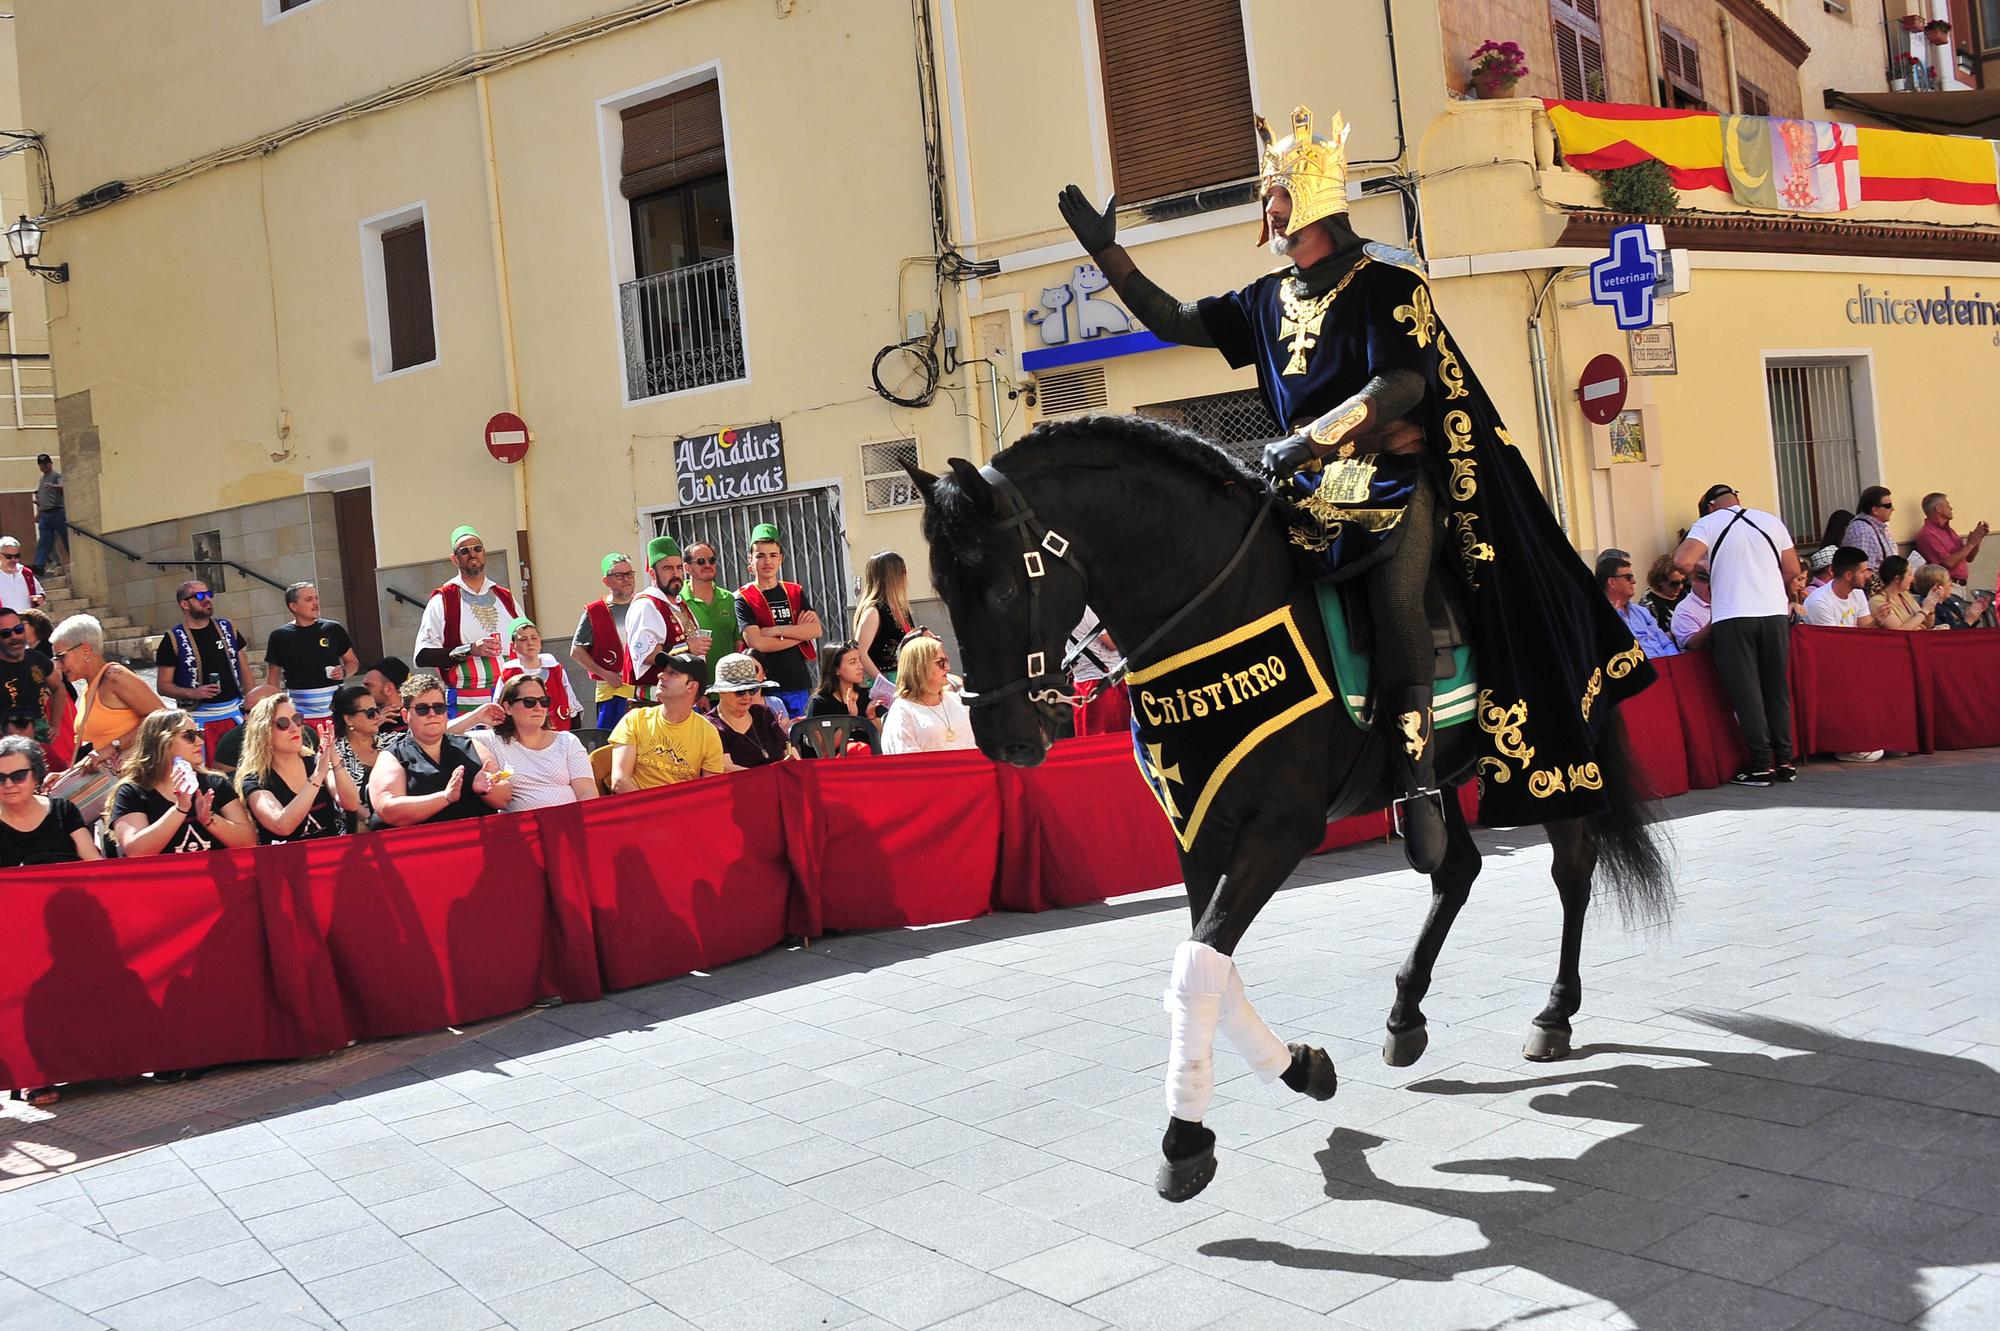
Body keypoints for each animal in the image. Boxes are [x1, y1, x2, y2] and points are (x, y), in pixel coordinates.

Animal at [912, 415, 1672, 1199]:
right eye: (942, 588)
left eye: (1005, 587)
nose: (1003, 738)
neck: (1218, 609)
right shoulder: (1199, 829)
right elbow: (1208, 958)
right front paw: (1300, 1070)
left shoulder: (1279, 828)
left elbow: (1201, 960)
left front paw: (1185, 1138)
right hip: (1432, 778)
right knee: (1453, 867)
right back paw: (1405, 1016)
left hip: (1549, 747)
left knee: (1572, 866)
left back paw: (1554, 1012)